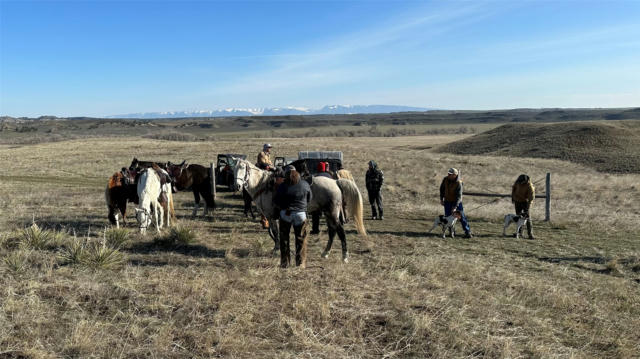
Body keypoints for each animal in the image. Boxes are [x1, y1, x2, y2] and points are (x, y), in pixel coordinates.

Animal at [234, 159, 364, 262]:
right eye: (234, 169)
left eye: (243, 168)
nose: (237, 186)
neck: (263, 185)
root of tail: (335, 182)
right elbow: (276, 233)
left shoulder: (271, 216)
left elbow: (275, 233)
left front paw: (276, 250)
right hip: (328, 213)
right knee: (332, 232)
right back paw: (325, 253)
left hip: (332, 213)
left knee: (340, 231)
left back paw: (345, 256)